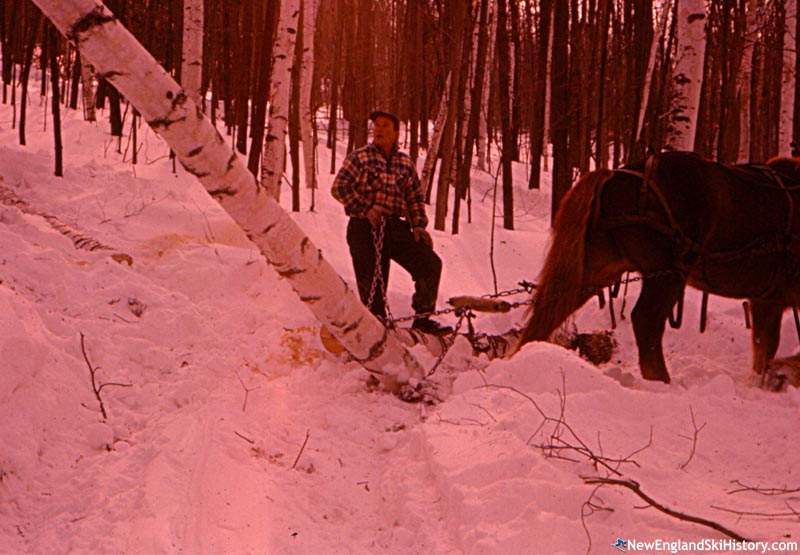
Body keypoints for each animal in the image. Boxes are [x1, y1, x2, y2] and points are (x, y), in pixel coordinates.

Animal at [516, 152, 800, 386]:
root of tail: (616, 174)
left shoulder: (766, 300)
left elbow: (764, 349)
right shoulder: (774, 301)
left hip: (595, 270)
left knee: (549, 310)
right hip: (668, 273)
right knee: (646, 320)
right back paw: (662, 382)